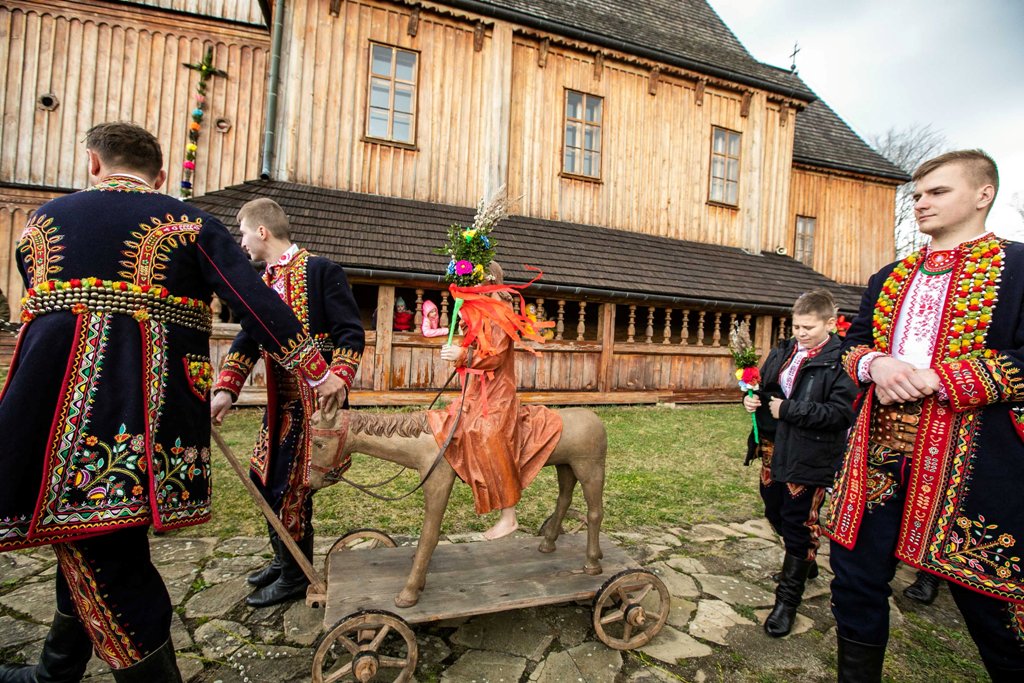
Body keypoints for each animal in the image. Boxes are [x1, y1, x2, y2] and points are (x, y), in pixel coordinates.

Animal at [308, 407, 607, 608]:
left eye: (319, 443)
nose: (312, 481)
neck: (425, 440)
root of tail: (596, 420)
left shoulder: (438, 479)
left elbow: (429, 535)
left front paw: (408, 593)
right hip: (565, 466)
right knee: (564, 499)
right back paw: (549, 544)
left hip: (589, 468)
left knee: (594, 513)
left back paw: (592, 564)